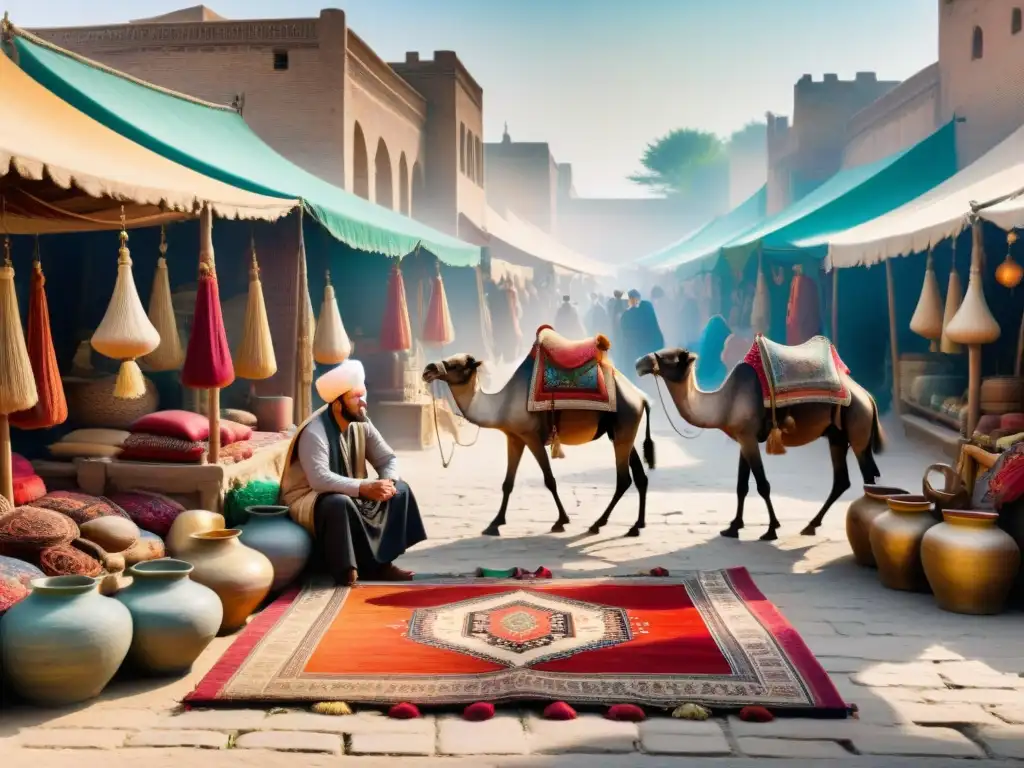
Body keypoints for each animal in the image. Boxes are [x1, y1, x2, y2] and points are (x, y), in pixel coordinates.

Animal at [421, 352, 655, 536]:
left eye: (455, 365)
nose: (428, 369)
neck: (501, 405)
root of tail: (641, 398)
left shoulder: (531, 436)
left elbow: (549, 480)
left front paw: (561, 521)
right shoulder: (514, 437)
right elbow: (508, 483)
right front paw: (494, 524)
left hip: (624, 425)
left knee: (624, 479)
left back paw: (597, 524)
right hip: (622, 432)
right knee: (640, 478)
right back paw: (636, 526)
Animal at [630, 348, 880, 540]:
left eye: (669, 357)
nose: (640, 363)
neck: (724, 403)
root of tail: (867, 397)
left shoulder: (749, 437)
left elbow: (762, 484)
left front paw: (771, 530)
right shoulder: (743, 438)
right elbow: (742, 485)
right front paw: (733, 527)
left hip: (857, 426)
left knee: (868, 478)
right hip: (837, 436)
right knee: (841, 480)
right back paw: (810, 526)